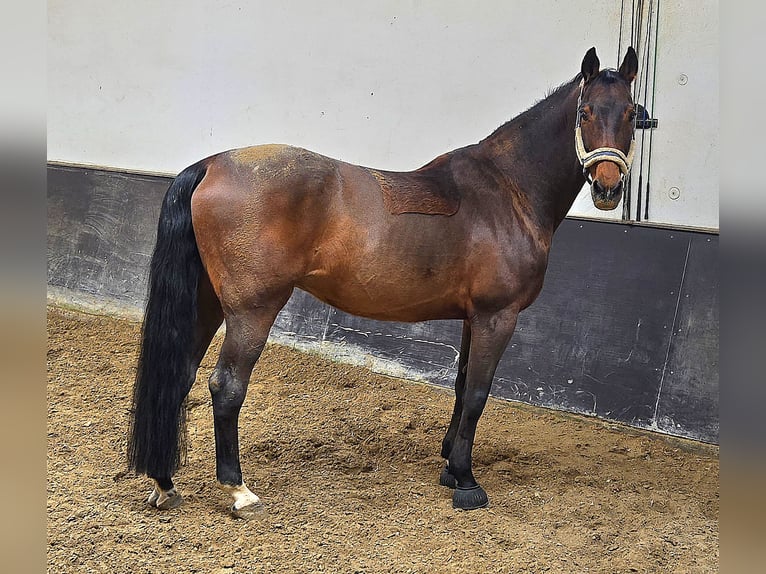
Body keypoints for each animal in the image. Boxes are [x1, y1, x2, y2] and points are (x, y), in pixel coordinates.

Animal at [128, 46, 639, 517]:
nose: (608, 186)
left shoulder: (473, 317)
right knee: (227, 386)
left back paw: (165, 483)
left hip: (207, 304)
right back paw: (238, 489)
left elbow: (461, 385)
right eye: (585, 112)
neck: (507, 191)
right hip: (252, 311)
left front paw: (449, 465)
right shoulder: (498, 316)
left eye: (631, 113)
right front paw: (467, 480)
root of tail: (212, 164)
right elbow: (477, 393)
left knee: (180, 375)